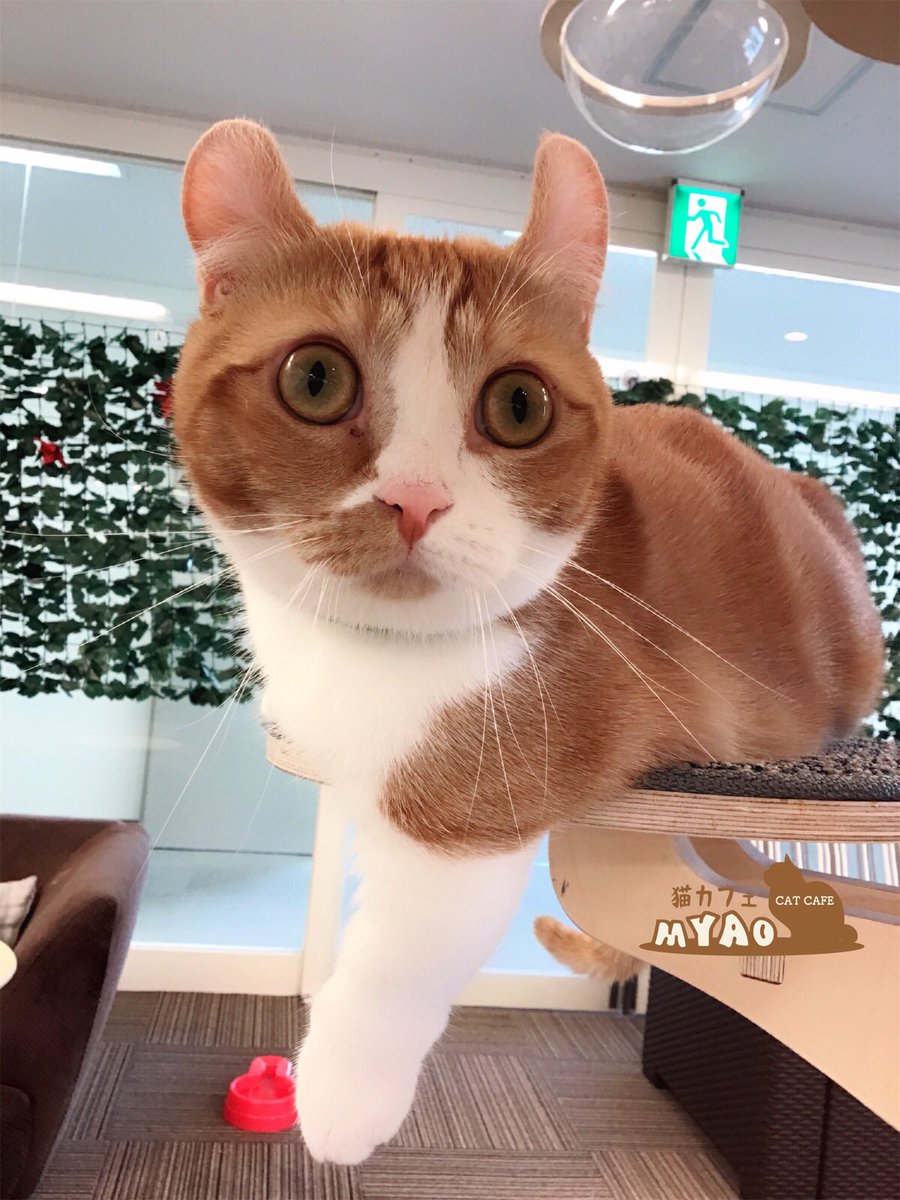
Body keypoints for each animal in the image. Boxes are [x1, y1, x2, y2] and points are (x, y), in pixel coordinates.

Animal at [172, 119, 884, 1164]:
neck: (366, 665)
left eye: (517, 405)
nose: (415, 500)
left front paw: (341, 1096)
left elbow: (399, 955)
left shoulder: (481, 791)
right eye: (315, 378)